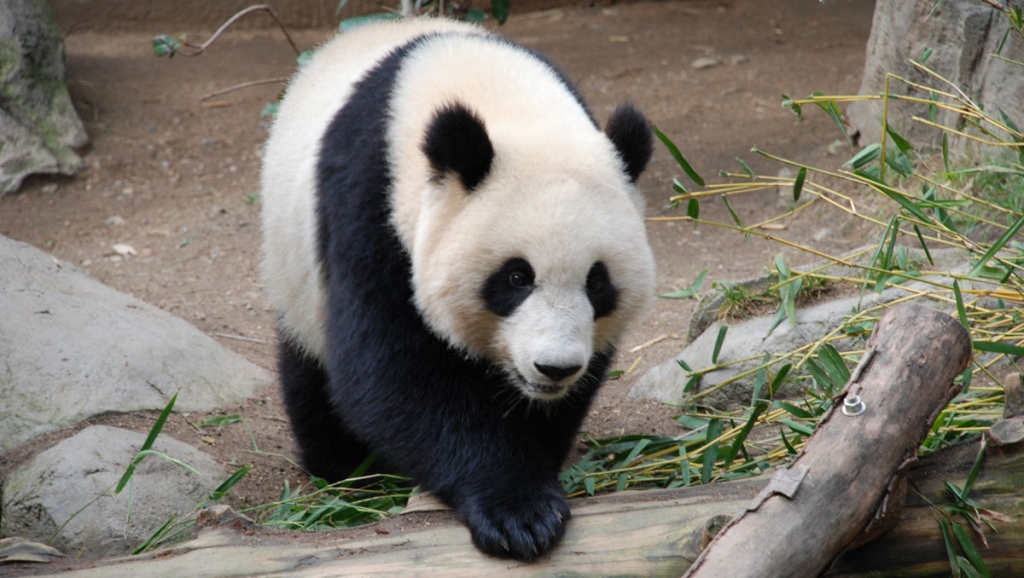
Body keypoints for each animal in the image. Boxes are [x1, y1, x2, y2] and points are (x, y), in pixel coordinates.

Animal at [260, 18, 651, 561]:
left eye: (597, 282)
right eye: (516, 277)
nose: (553, 368)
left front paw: (536, 471)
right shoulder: (371, 204)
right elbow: (392, 371)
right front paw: (518, 512)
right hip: (294, 268)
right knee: (309, 368)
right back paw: (343, 468)